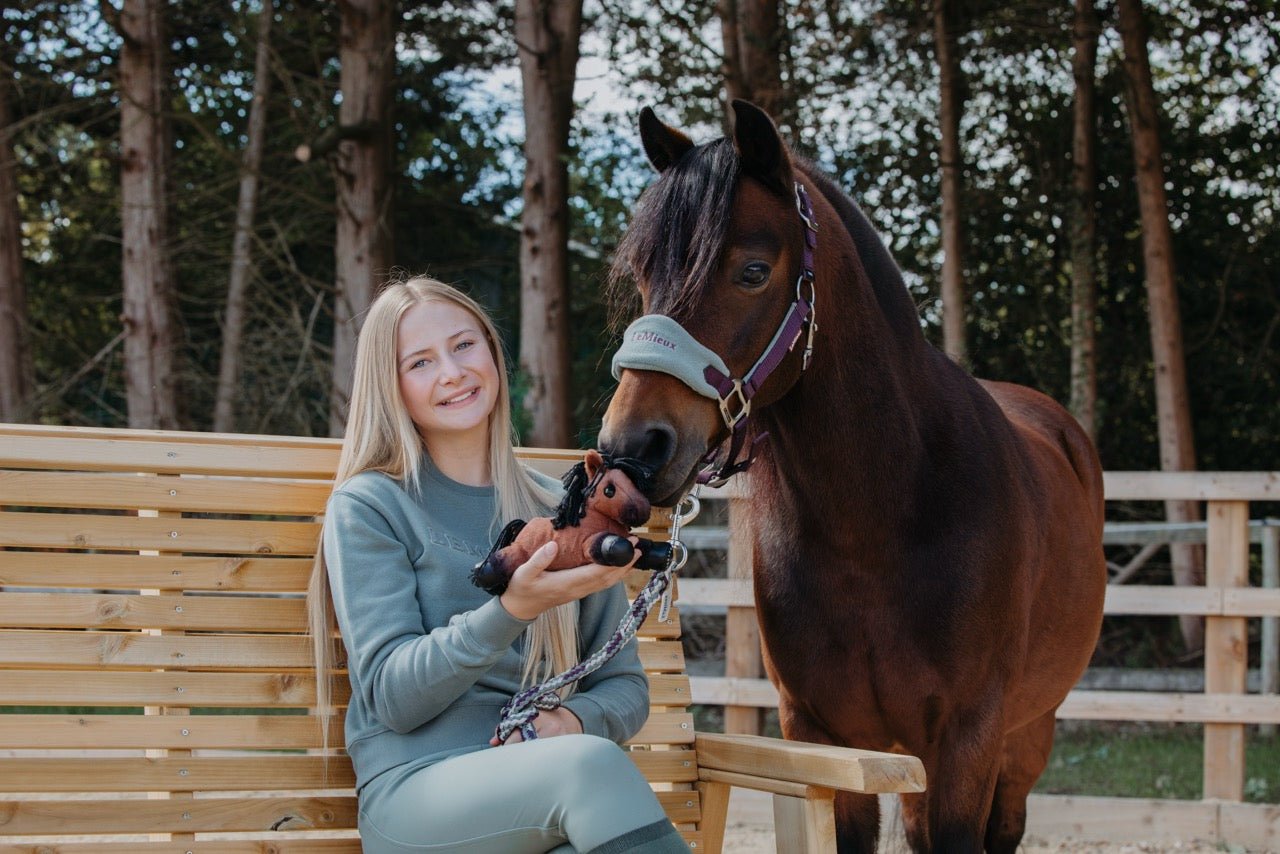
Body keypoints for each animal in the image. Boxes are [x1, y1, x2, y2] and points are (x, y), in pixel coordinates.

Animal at [598, 100, 1107, 853]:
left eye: (752, 271)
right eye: (642, 274)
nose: (634, 447)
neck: (879, 523)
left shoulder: (969, 738)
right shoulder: (825, 736)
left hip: (1027, 733)